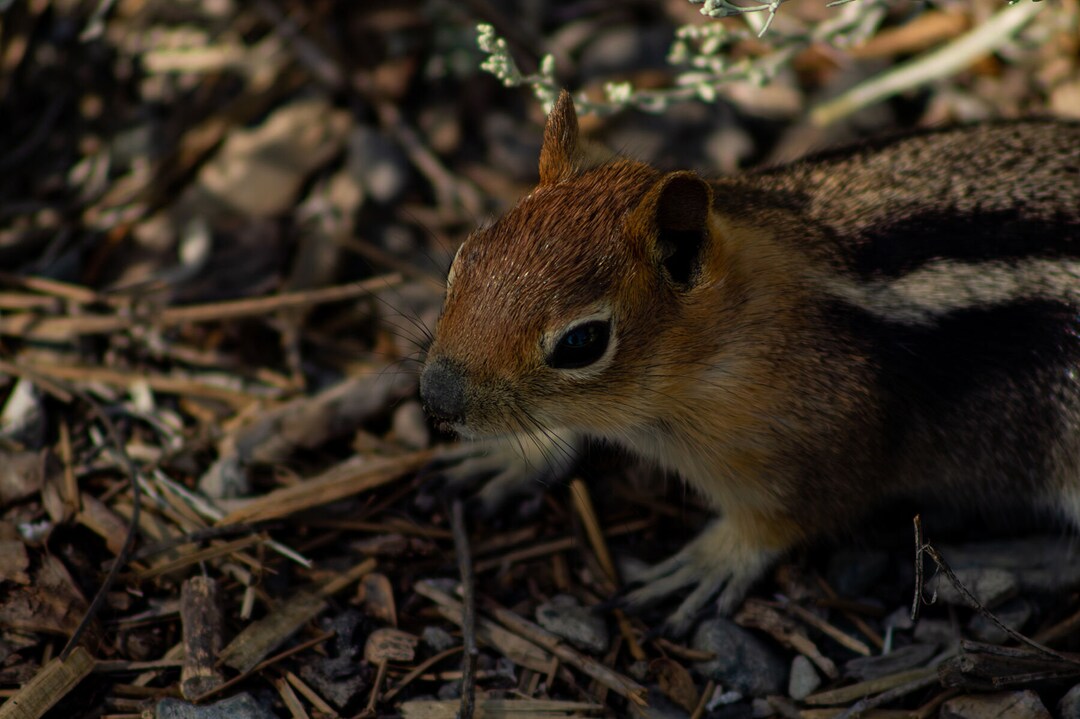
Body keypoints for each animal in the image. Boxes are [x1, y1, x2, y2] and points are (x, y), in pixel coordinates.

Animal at [420, 90, 1080, 635]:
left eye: (582, 342)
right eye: (463, 256)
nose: (436, 399)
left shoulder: (823, 446)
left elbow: (785, 520)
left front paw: (707, 562)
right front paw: (512, 455)